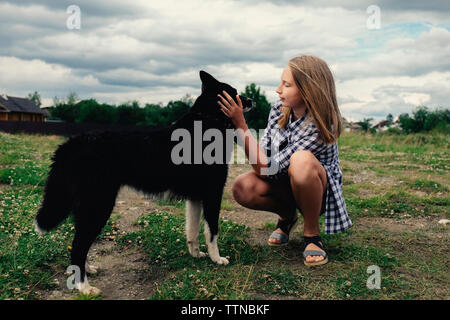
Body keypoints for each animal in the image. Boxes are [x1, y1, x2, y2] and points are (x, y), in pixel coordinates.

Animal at [35, 71, 253, 296]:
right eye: (234, 93)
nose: (252, 101)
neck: (207, 120)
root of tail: (71, 144)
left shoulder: (195, 198)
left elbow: (192, 231)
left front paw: (196, 255)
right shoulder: (212, 193)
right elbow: (212, 231)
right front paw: (217, 259)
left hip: (87, 209)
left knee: (79, 243)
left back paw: (87, 271)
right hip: (99, 206)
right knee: (79, 245)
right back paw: (84, 288)